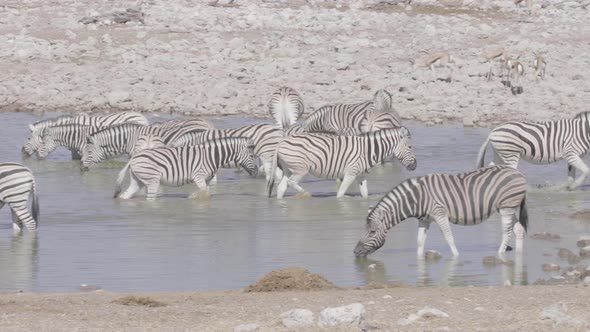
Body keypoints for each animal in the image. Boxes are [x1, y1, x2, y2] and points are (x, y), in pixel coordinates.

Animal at [114, 137, 258, 200]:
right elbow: (204, 193)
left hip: (138, 180)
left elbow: (207, 193)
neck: (212, 156)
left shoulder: (206, 180)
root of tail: (133, 158)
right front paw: (192, 198)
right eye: (251, 155)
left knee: (125, 196)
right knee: (150, 199)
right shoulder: (198, 177)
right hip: (152, 180)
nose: (256, 172)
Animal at [268, 127, 416, 200]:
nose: (415, 166)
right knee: (291, 182)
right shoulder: (350, 173)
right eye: (410, 147)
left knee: (281, 187)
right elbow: (340, 194)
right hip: (301, 169)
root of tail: (282, 141)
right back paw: (306, 194)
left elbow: (365, 194)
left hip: (289, 169)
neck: (368, 151)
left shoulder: (361, 176)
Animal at [354, 165, 528, 256]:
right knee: (518, 229)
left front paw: (456, 256)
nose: (356, 251)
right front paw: (419, 259)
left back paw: (500, 254)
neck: (416, 198)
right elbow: (419, 241)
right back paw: (519, 254)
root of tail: (517, 172)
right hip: (508, 207)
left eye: (372, 232)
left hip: (506, 206)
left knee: (507, 232)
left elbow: (448, 237)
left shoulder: (440, 213)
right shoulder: (424, 219)